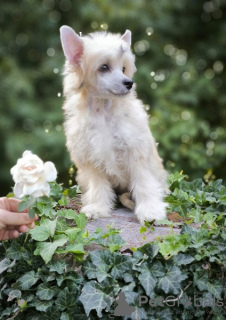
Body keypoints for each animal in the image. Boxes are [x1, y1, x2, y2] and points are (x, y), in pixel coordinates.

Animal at [59, 26, 169, 224]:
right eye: (104, 67)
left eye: (123, 68)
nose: (129, 83)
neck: (104, 110)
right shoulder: (91, 158)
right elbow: (98, 185)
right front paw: (97, 207)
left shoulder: (136, 153)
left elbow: (144, 182)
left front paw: (150, 210)